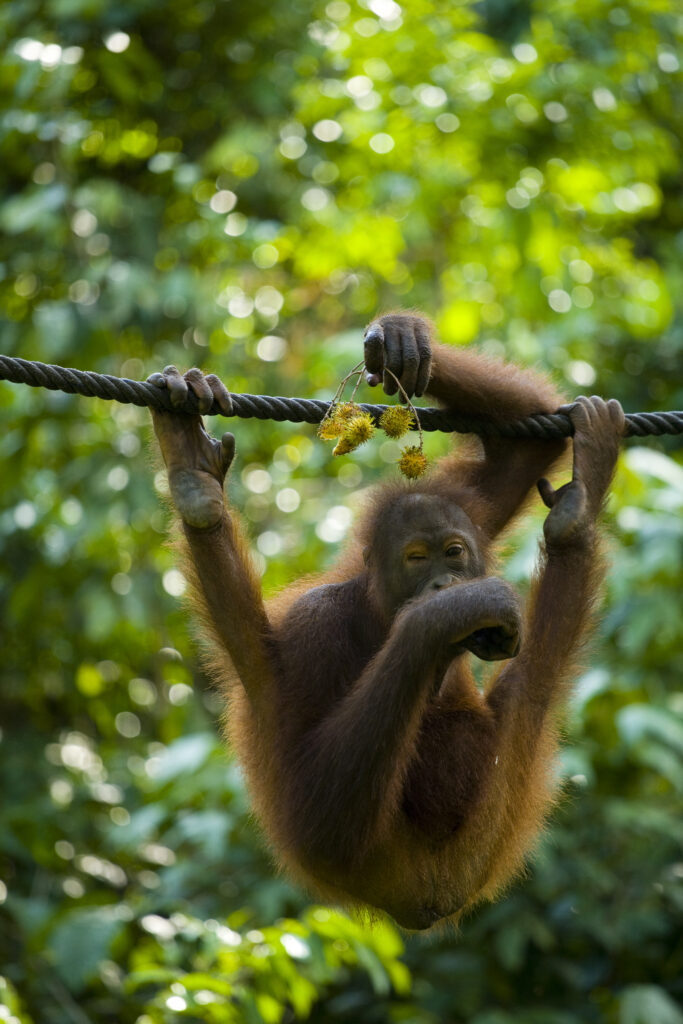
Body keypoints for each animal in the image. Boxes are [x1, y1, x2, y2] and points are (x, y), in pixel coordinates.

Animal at [149, 312, 624, 931]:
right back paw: (195, 484)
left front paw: (400, 341)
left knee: (532, 689)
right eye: (416, 559)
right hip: (373, 856)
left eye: (454, 553)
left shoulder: (469, 505)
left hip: (488, 831)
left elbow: (519, 448)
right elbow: (311, 787)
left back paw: (578, 508)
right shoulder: (314, 628)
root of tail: (424, 899)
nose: (444, 584)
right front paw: (444, 614)